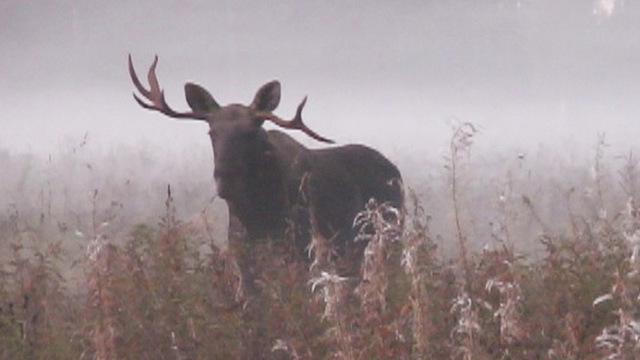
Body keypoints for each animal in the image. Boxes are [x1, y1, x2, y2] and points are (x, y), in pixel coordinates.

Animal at [127, 55, 402, 286]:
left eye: (251, 132)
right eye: (211, 132)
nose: (225, 179)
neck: (258, 215)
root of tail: (396, 171)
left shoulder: (302, 248)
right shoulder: (242, 254)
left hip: (389, 235)